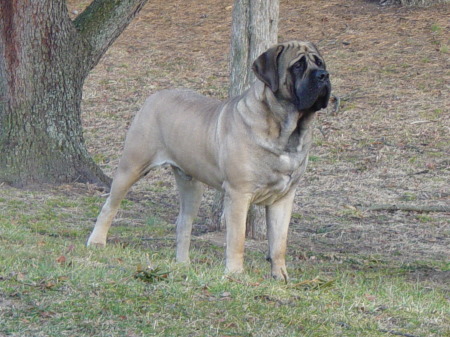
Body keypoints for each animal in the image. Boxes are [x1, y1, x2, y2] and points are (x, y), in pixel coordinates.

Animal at [88, 41, 328, 278]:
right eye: (297, 66)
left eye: (320, 62)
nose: (324, 75)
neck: (287, 131)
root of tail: (154, 96)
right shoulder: (239, 194)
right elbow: (237, 239)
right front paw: (234, 274)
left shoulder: (283, 198)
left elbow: (279, 243)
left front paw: (281, 278)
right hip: (132, 166)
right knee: (110, 205)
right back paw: (97, 242)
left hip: (191, 185)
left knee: (183, 222)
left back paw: (183, 263)